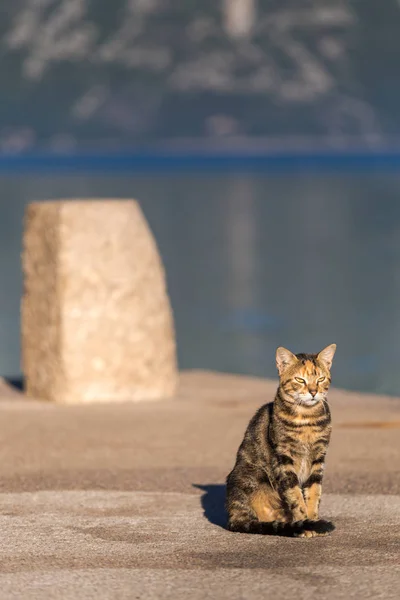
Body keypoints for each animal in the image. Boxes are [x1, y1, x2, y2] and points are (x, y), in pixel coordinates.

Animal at [227, 344, 336, 536]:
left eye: (321, 379)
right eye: (300, 380)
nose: (313, 392)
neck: (306, 419)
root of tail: (233, 517)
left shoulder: (319, 456)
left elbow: (314, 493)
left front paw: (313, 520)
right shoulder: (284, 458)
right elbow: (295, 496)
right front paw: (305, 524)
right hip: (250, 475)